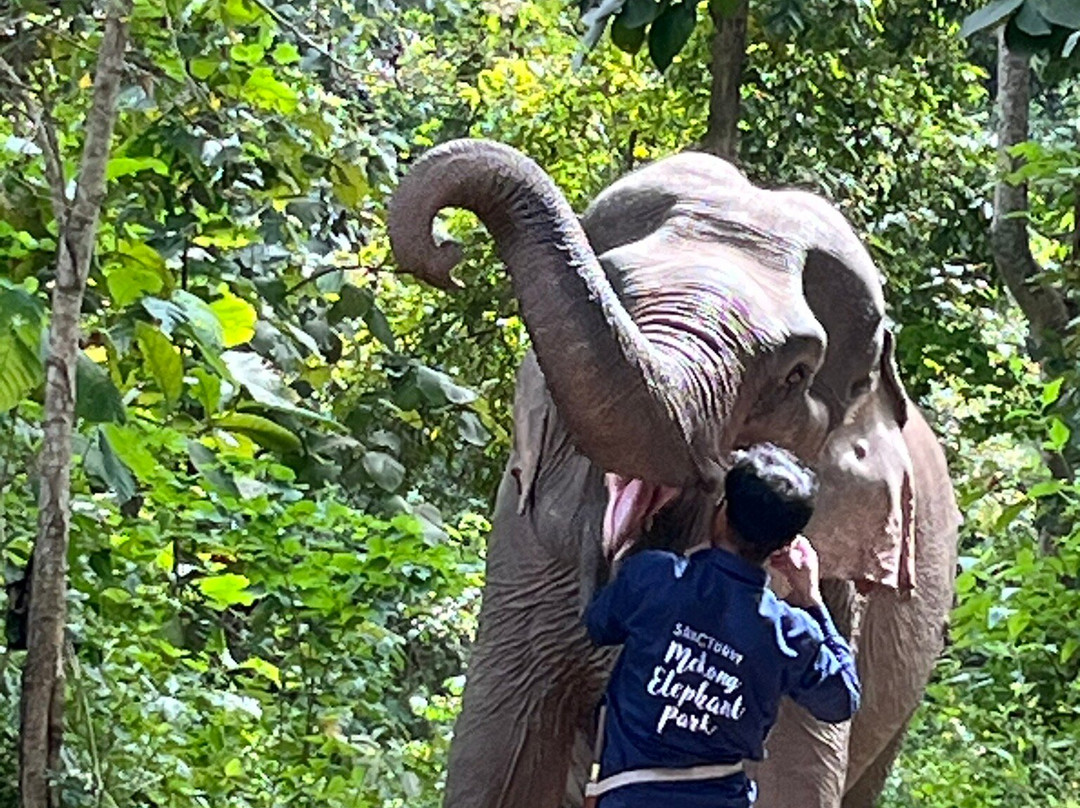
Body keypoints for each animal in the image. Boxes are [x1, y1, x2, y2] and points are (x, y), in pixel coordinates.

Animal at [387, 139, 961, 808]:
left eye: (795, 375)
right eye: (614, 287)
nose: (447, 252)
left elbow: (796, 763)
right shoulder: (521, 543)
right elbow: (497, 750)